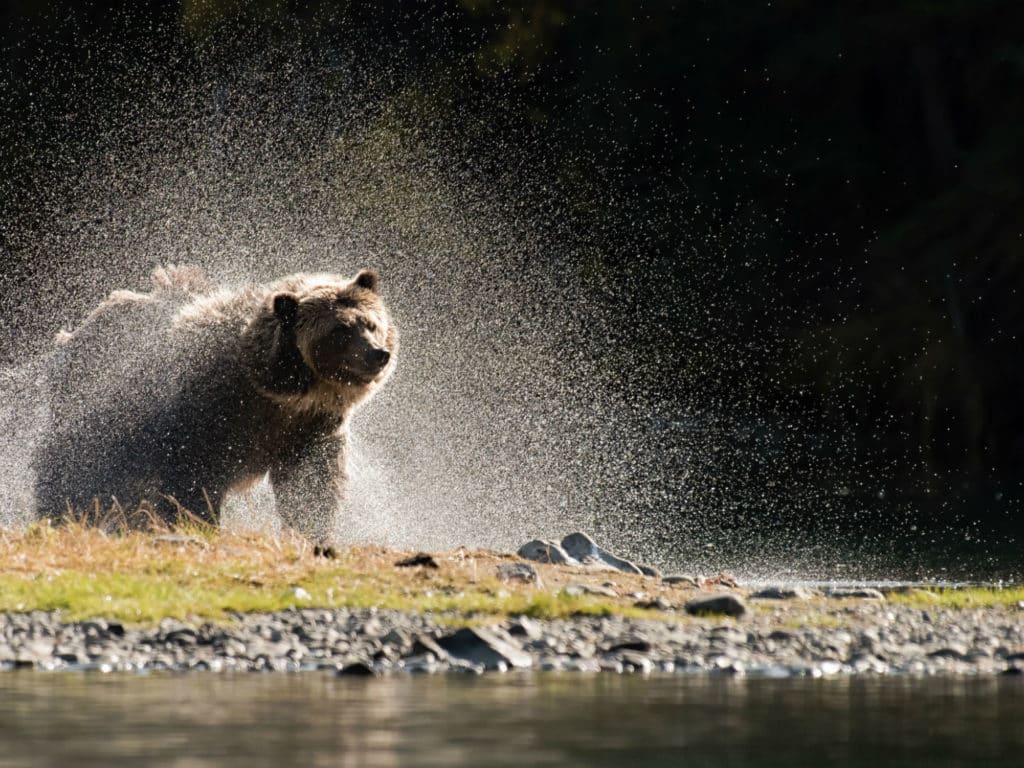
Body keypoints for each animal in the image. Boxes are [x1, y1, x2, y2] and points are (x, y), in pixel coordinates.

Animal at [33, 265, 398, 548]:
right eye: (340, 330)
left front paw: (311, 533)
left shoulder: (310, 426)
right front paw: (199, 523)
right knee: (73, 471)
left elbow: (313, 482)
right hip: (98, 417)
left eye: (371, 323)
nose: (377, 354)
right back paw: (62, 517)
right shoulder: (209, 412)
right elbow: (193, 475)